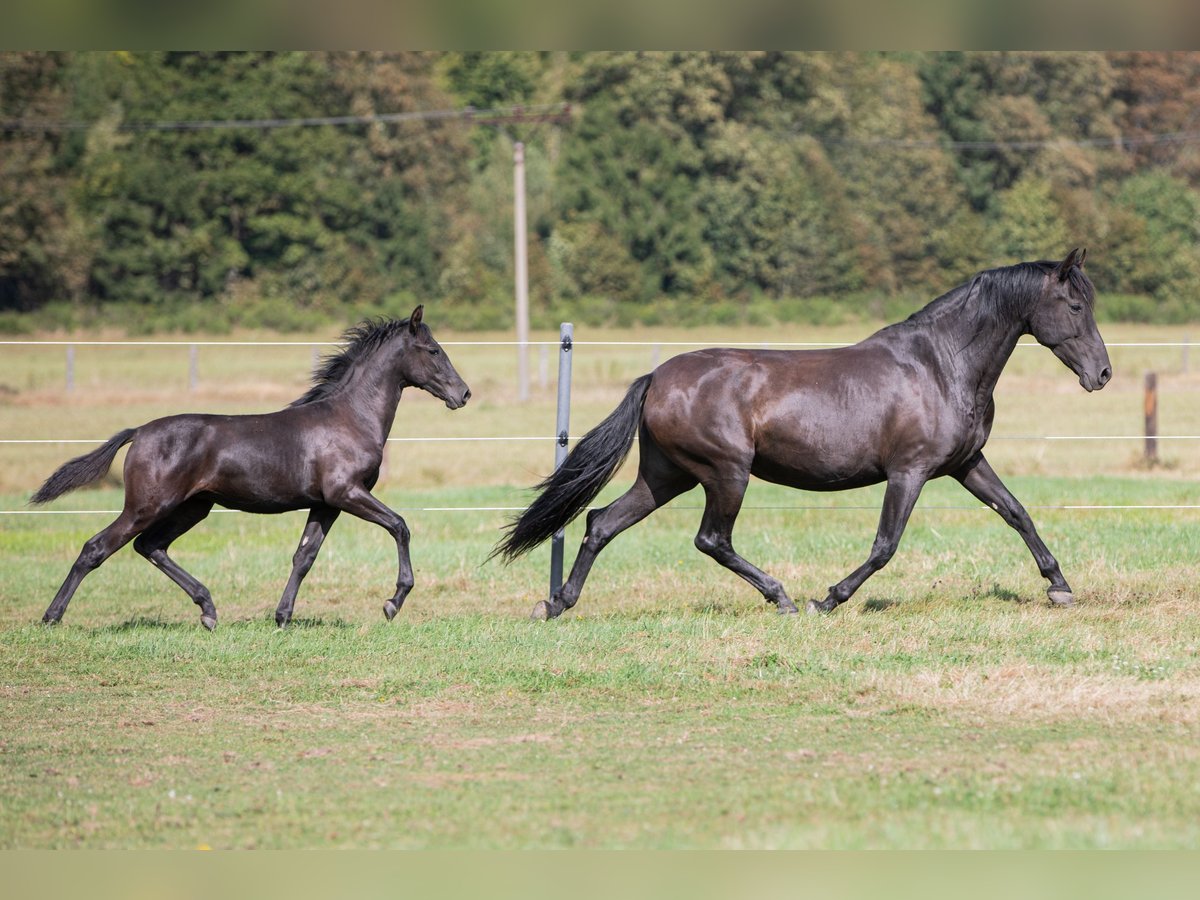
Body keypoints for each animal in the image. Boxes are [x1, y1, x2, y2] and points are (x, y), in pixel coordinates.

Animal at [30, 307, 470, 628]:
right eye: (433, 350)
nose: (463, 394)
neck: (349, 418)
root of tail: (139, 432)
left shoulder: (326, 503)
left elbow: (304, 556)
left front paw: (282, 617)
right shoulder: (348, 493)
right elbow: (400, 525)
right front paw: (394, 601)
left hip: (193, 507)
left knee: (150, 546)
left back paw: (208, 610)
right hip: (147, 506)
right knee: (97, 548)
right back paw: (52, 617)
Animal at [499, 250, 1113, 624]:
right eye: (1075, 305)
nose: (1102, 375)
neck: (940, 365)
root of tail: (657, 377)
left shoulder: (966, 463)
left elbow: (1017, 514)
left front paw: (1059, 586)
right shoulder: (908, 472)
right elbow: (885, 545)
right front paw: (829, 599)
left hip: (665, 476)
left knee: (601, 523)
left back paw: (557, 603)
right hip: (725, 474)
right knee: (711, 540)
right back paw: (785, 598)